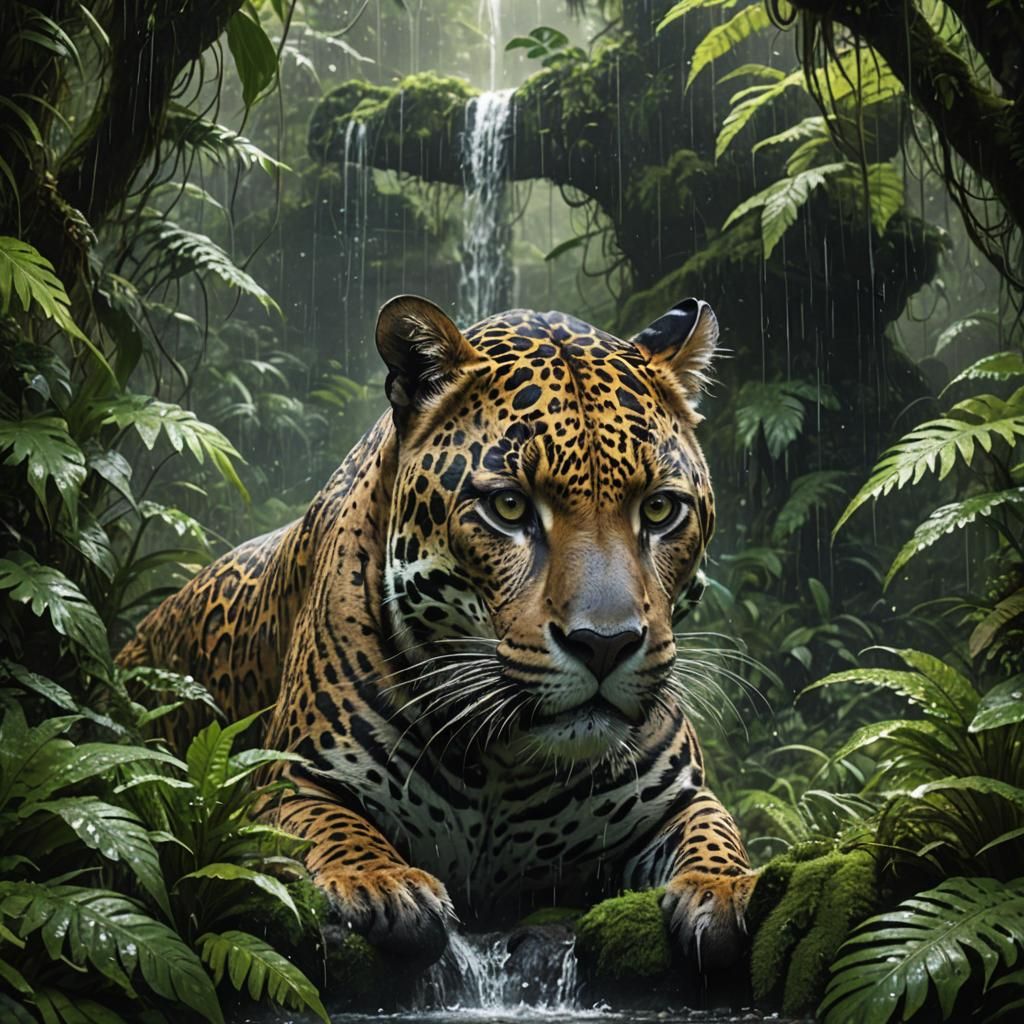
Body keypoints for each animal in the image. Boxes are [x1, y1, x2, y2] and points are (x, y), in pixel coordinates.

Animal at [117, 294, 758, 974]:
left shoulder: (682, 797)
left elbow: (715, 836)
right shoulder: (284, 782)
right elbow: (339, 827)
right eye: (509, 507)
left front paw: (722, 889)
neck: (505, 761)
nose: (605, 644)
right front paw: (382, 880)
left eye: (660, 509)